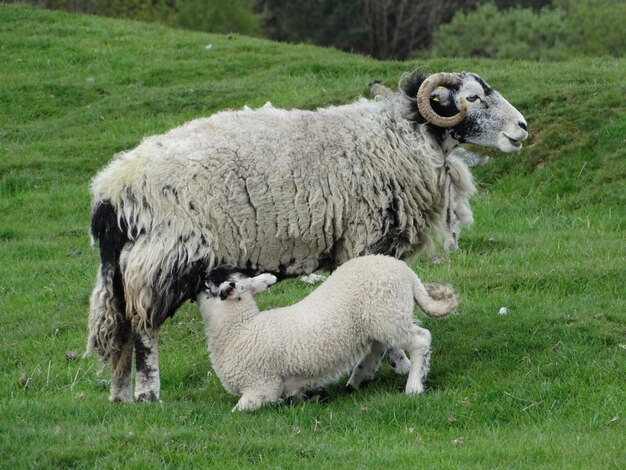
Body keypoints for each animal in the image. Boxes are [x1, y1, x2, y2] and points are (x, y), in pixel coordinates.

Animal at [197, 253, 456, 412]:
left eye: (208, 286)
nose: (203, 274)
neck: (241, 329)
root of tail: (405, 271)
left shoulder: (261, 387)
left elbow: (237, 411)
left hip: (389, 313)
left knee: (420, 340)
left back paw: (414, 386)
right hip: (378, 320)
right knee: (378, 347)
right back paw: (357, 381)